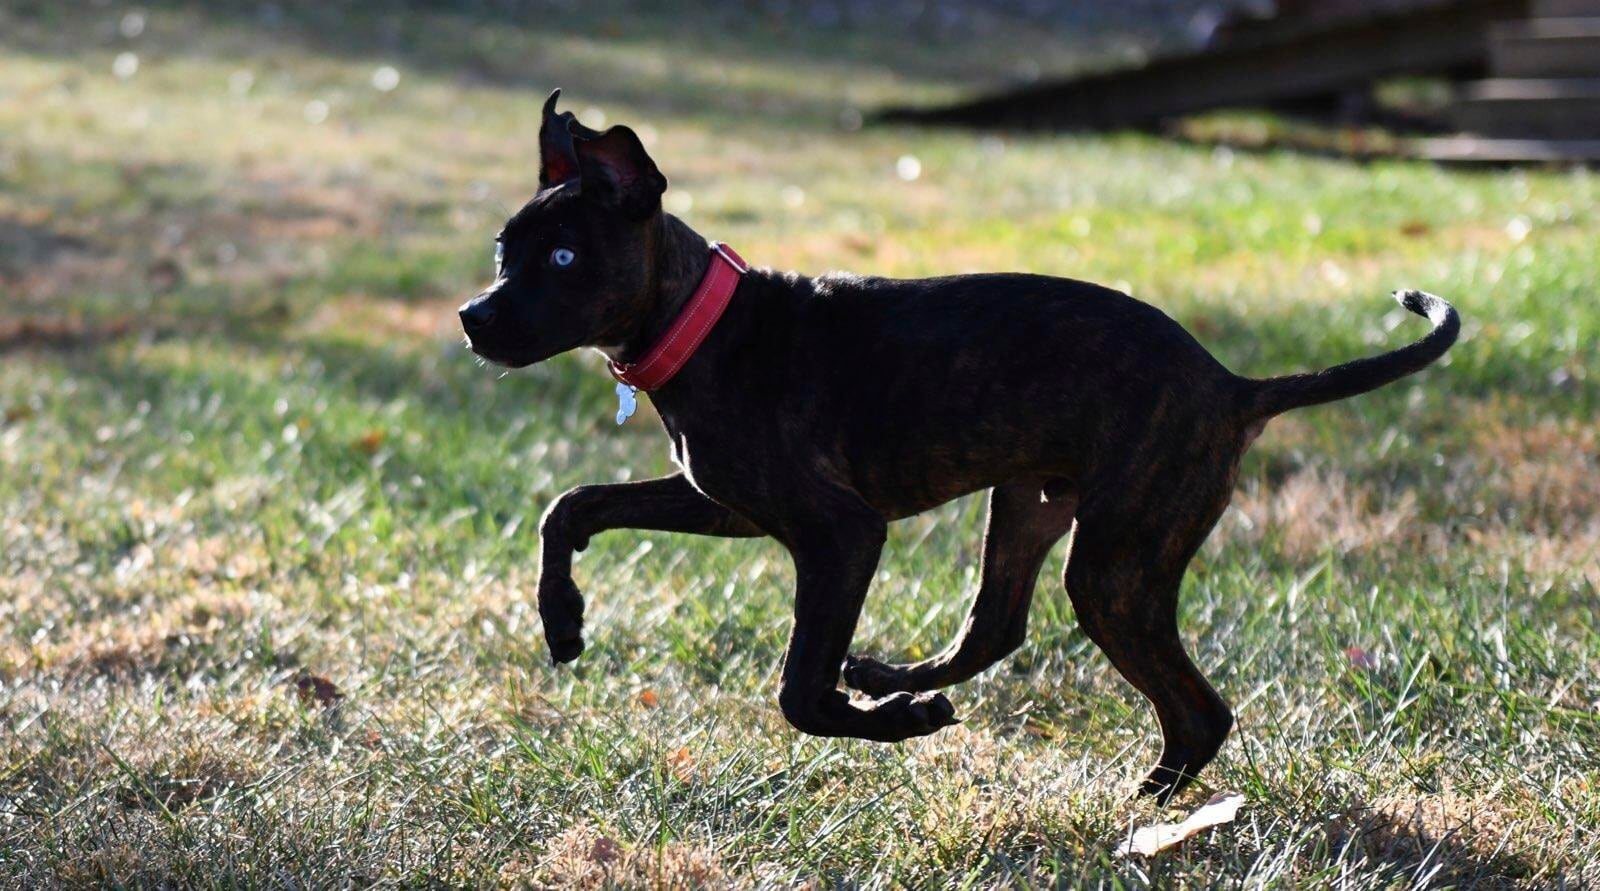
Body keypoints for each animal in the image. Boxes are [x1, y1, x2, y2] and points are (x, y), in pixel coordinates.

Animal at [460, 91, 1465, 799]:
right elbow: (571, 506)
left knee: (1200, 709)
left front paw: (897, 725)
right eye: (506, 250)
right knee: (997, 625)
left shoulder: (840, 534)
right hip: (1030, 507)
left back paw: (1137, 798)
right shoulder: (726, 503)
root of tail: (1231, 385)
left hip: (1116, 563)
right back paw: (898, 674)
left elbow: (799, 691)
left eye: (563, 259)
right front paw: (561, 618)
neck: (707, 328)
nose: (473, 317)